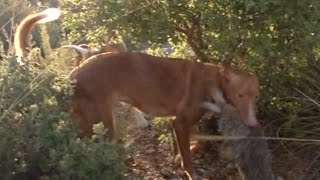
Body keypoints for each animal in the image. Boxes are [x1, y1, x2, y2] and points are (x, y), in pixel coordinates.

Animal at [69, 52, 260, 179]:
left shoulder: (181, 123)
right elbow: (188, 159)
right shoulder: (180, 123)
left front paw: (177, 158)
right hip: (102, 124)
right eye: (240, 95)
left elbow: (194, 144)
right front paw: (190, 171)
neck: (214, 81)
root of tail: (72, 74)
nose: (253, 123)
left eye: (255, 96)